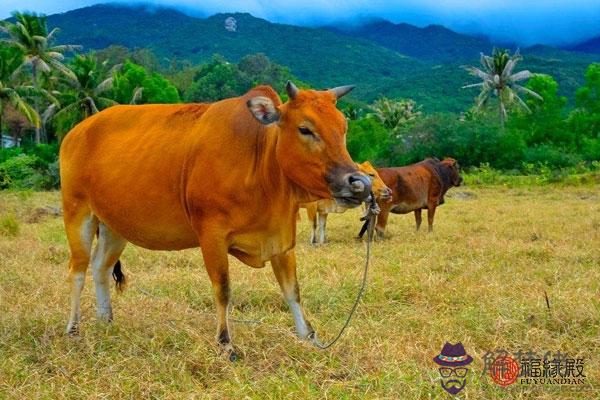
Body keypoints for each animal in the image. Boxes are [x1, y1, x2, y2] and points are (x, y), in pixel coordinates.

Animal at [61, 81, 370, 360]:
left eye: (343, 129)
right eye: (305, 129)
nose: (357, 183)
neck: (259, 159)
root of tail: (76, 131)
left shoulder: (280, 240)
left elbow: (292, 291)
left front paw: (307, 336)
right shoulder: (212, 236)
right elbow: (223, 290)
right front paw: (225, 343)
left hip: (114, 226)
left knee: (100, 268)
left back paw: (106, 321)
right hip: (77, 213)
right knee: (77, 271)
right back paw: (73, 328)